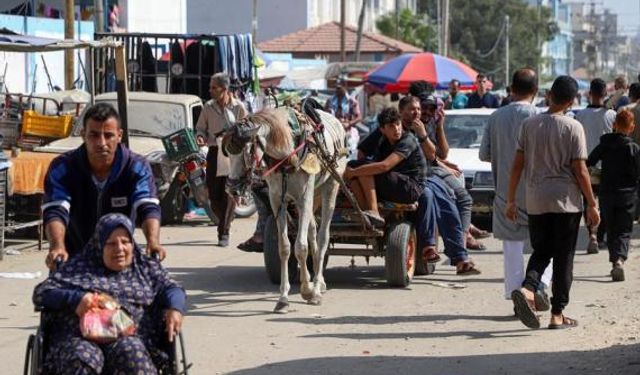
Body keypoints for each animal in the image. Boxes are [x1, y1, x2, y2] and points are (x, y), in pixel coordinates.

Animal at [224, 106, 348, 314]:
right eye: (228, 153)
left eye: (247, 152)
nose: (232, 189)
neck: (288, 153)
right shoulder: (277, 199)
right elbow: (285, 247)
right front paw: (284, 298)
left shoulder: (304, 196)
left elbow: (301, 247)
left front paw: (308, 291)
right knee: (313, 230)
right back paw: (317, 281)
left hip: (330, 185)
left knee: (323, 236)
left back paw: (318, 286)